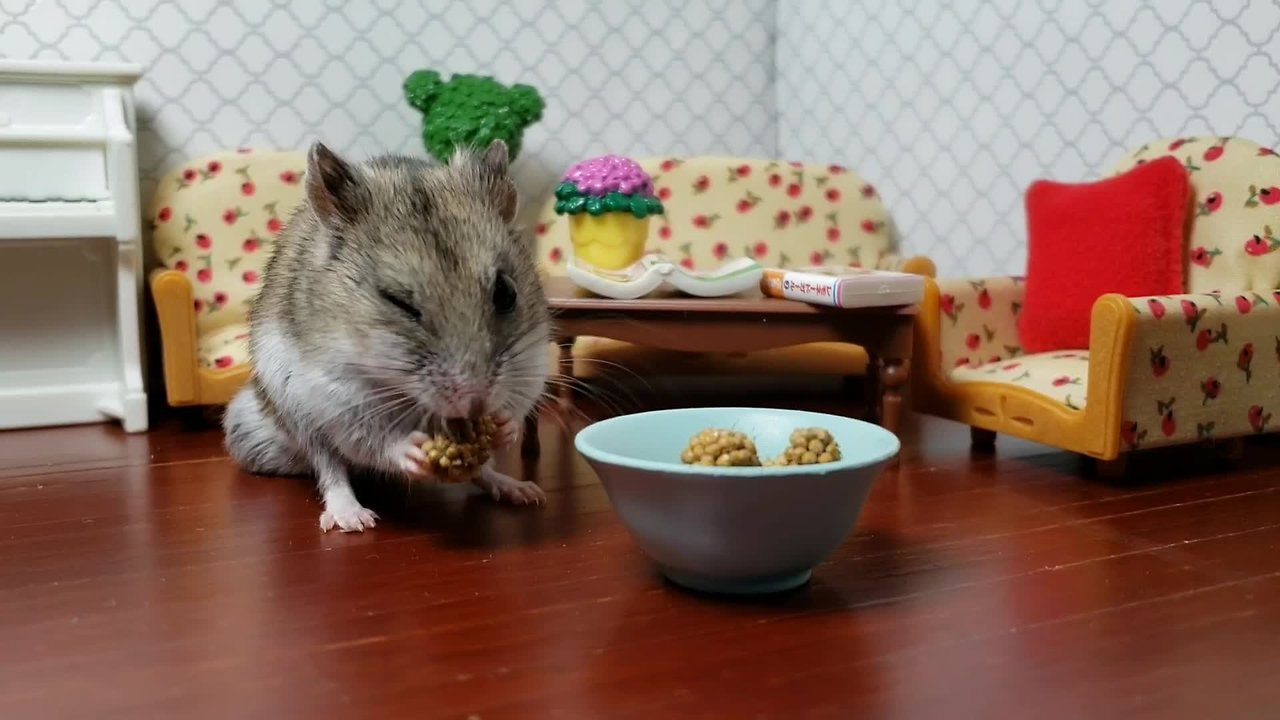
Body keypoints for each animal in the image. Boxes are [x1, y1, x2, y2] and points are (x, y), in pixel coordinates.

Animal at [224, 140, 550, 530]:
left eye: (506, 292)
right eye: (397, 301)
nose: (476, 404)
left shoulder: (531, 365)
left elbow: (514, 411)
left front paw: (503, 427)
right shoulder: (338, 397)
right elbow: (376, 441)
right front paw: (412, 452)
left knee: (483, 472)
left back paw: (522, 491)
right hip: (283, 420)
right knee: (330, 466)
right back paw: (352, 519)